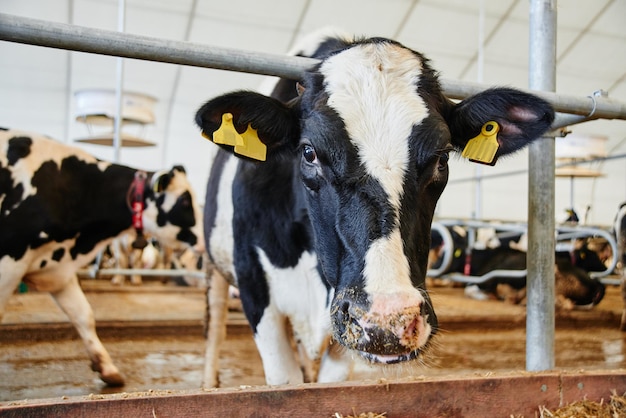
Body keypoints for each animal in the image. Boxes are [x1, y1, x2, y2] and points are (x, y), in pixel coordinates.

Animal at [0, 129, 204, 386]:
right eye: (185, 201)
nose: (207, 237)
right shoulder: (9, 261)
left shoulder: (59, 268)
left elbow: (83, 314)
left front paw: (107, 368)